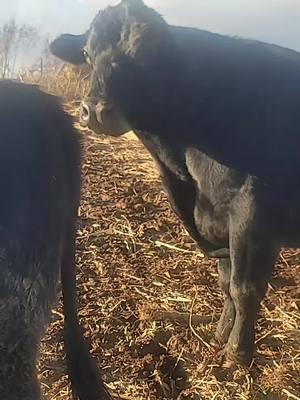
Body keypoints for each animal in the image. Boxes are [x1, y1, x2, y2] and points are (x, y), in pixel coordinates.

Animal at [50, 0, 300, 368]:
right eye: (86, 52)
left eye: (147, 52)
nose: (94, 109)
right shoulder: (217, 216)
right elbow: (226, 282)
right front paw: (220, 336)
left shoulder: (253, 213)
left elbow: (245, 288)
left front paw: (238, 354)